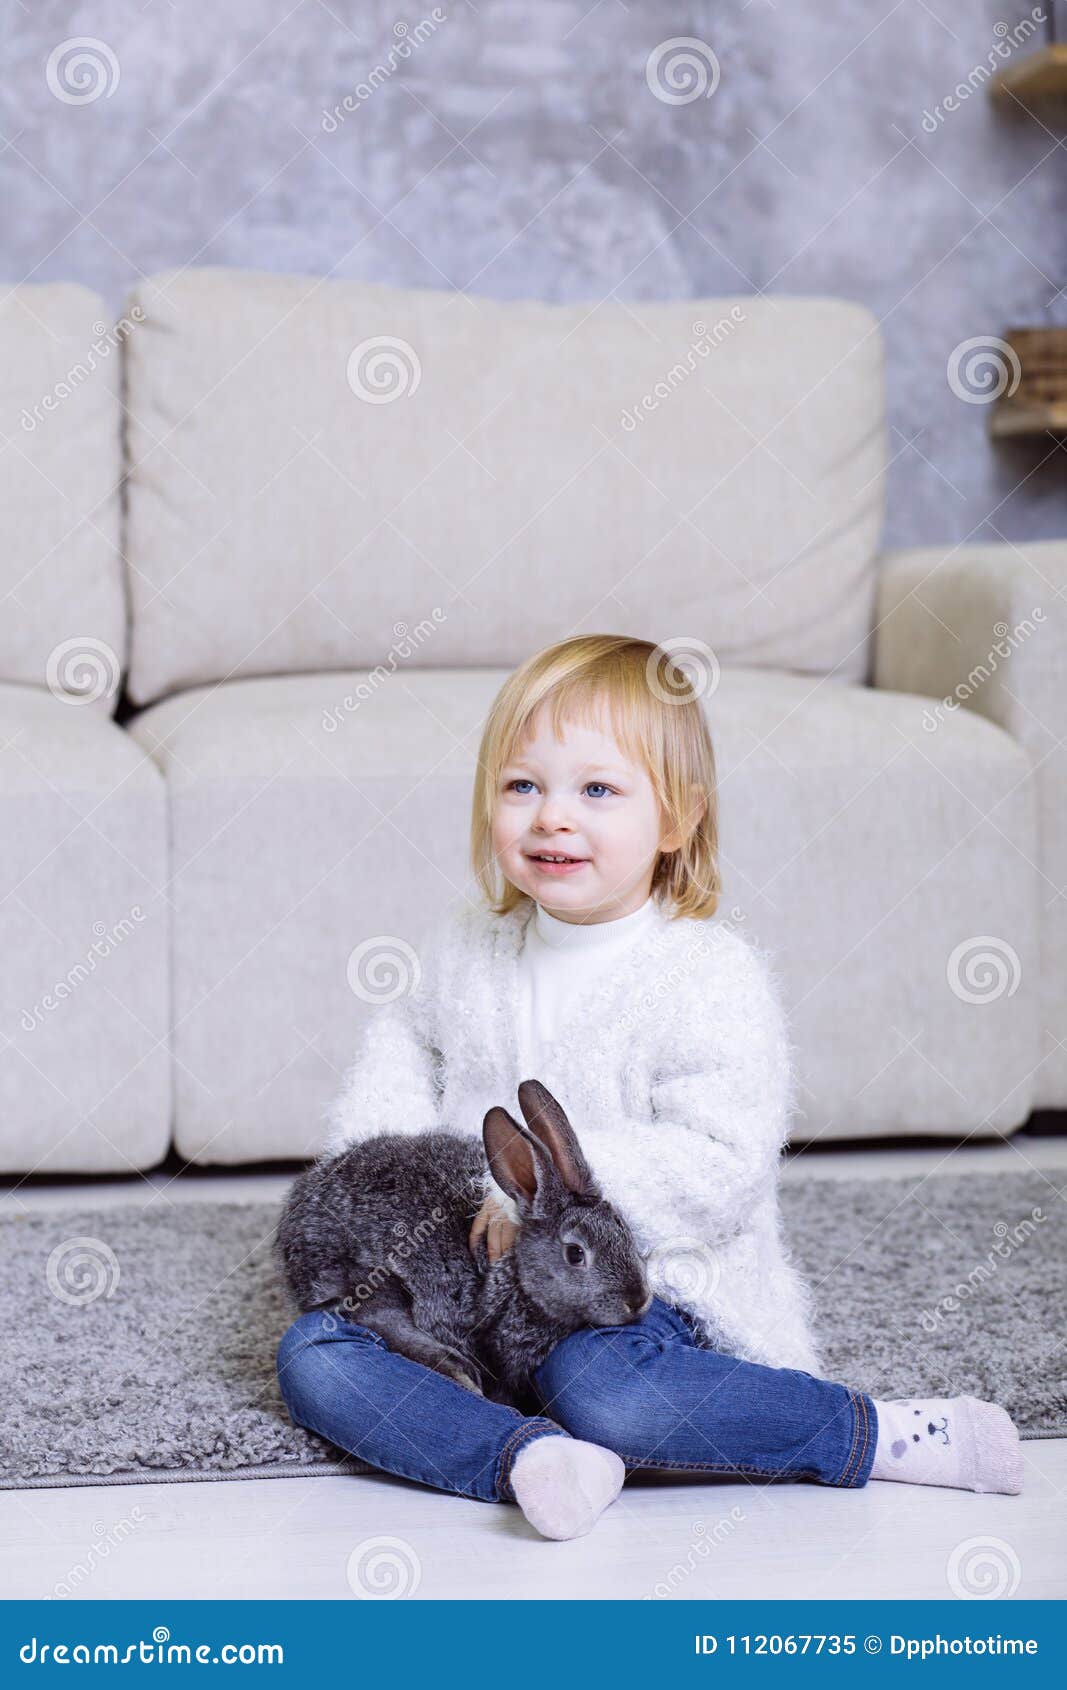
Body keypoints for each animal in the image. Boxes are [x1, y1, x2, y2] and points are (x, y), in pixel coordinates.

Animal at [275, 1081, 652, 1399]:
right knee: (381, 1318)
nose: (637, 1300)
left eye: (623, 1228)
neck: (518, 1278)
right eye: (575, 1254)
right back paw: (458, 1370)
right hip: (371, 1273)